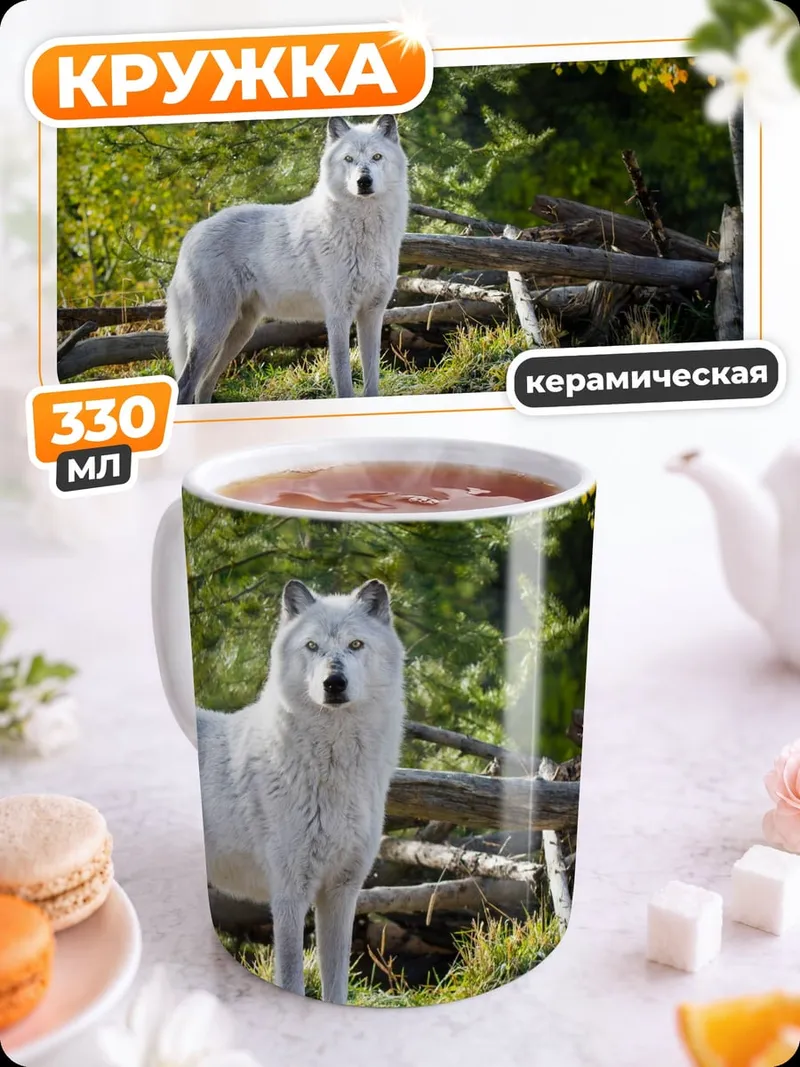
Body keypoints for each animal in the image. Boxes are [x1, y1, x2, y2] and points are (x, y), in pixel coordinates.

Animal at [165, 115, 410, 405]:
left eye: (376, 156)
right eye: (349, 159)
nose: (364, 181)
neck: (364, 231)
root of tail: (191, 234)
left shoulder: (372, 314)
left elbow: (372, 385)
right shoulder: (338, 316)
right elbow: (344, 383)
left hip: (239, 332)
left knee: (204, 385)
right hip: (212, 329)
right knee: (185, 386)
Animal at [196, 579, 406, 1004]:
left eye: (355, 644)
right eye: (312, 646)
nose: (333, 683)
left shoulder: (341, 893)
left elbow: (337, 987)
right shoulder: (290, 893)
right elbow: (291, 979)